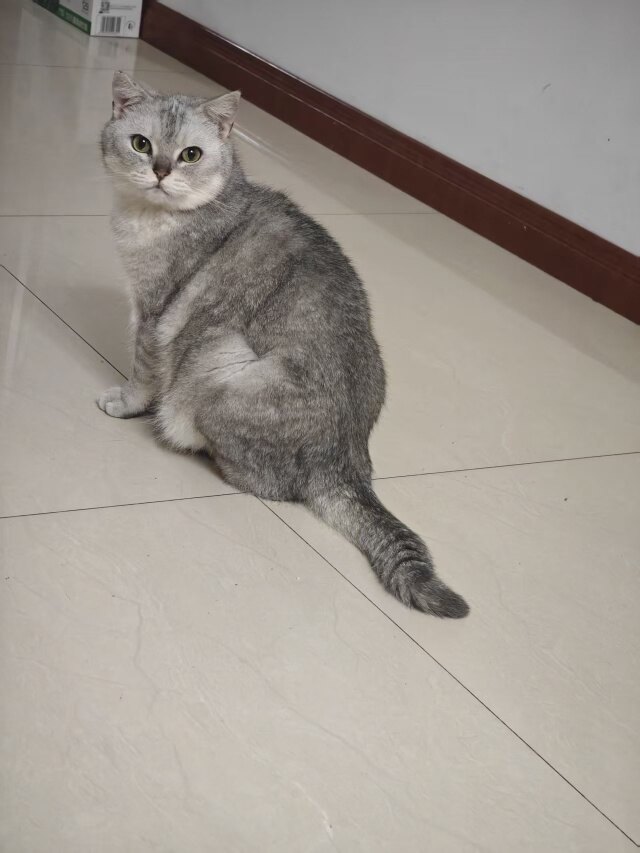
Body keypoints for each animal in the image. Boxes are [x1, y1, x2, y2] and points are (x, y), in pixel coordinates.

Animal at [98, 71, 468, 618]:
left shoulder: (153, 313)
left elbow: (142, 373)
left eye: (190, 154)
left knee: (263, 482)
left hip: (223, 366)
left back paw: (190, 443)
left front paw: (122, 403)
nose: (161, 171)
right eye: (141, 144)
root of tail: (347, 463)